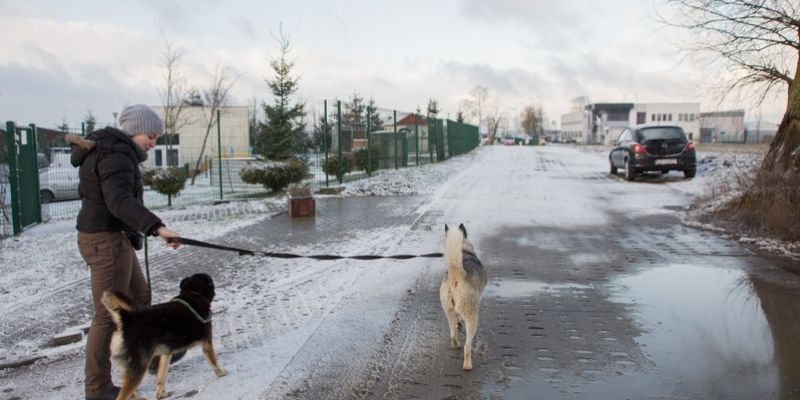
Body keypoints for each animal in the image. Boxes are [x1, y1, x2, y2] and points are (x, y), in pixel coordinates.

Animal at [440, 223, 484, 370]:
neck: (464, 251)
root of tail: (457, 274)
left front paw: (459, 324)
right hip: (471, 315)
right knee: (467, 346)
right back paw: (467, 365)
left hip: (448, 309)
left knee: (453, 333)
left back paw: (455, 343)